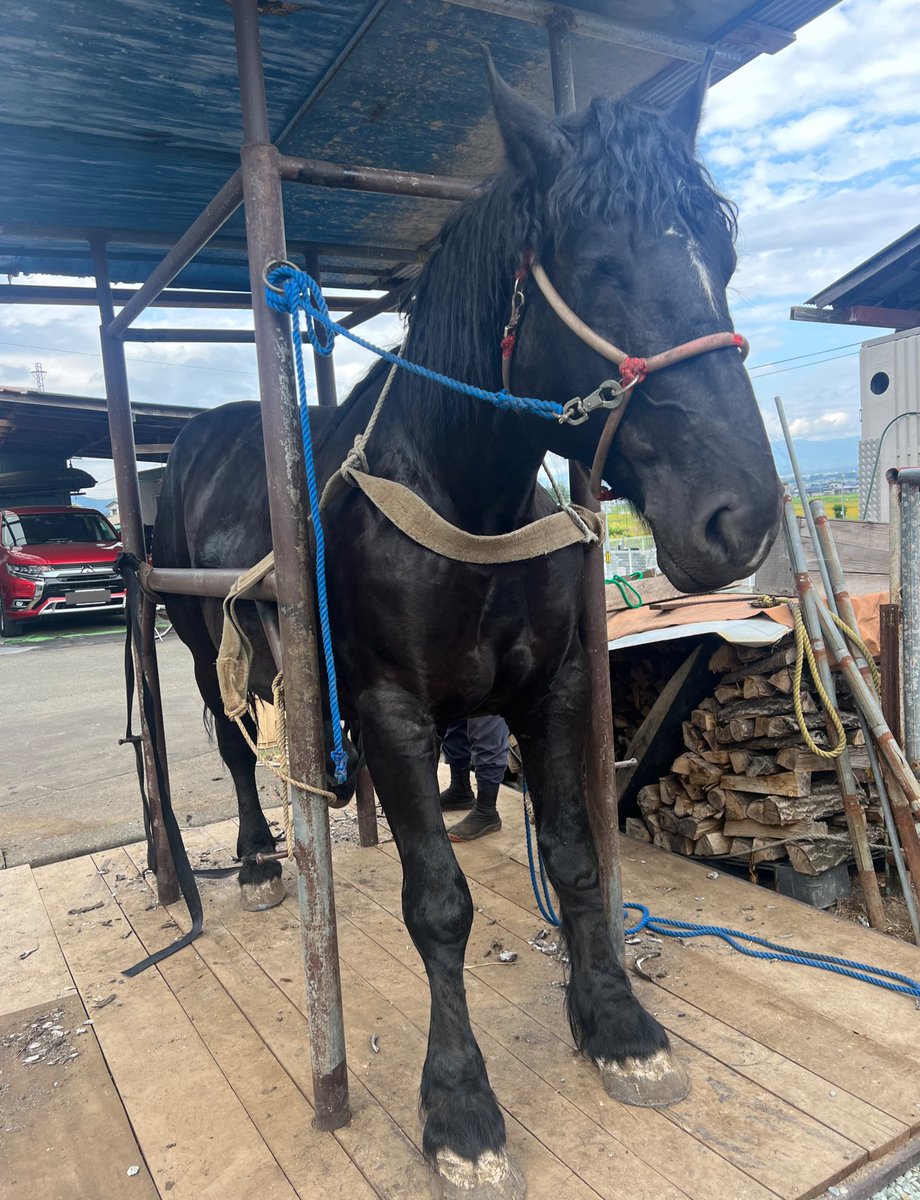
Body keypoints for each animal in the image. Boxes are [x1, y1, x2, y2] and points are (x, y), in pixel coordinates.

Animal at [152, 62, 781, 1200]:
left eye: (719, 257)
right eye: (596, 263)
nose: (740, 516)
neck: (465, 502)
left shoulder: (556, 690)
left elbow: (575, 857)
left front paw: (615, 1024)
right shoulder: (393, 712)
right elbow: (437, 905)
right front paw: (458, 1105)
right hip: (189, 633)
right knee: (232, 744)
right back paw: (263, 860)